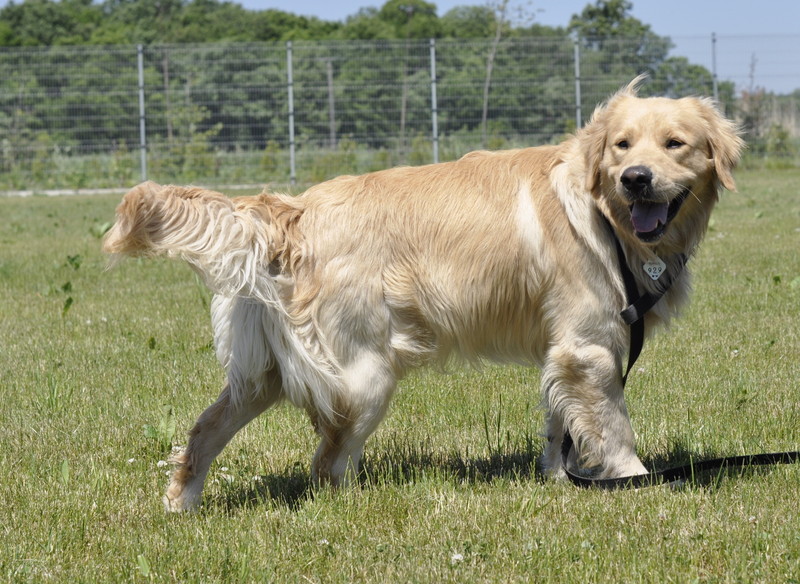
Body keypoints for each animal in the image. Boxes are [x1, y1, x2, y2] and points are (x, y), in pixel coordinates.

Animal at [103, 77, 743, 511]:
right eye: (621, 146)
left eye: (675, 144)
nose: (636, 179)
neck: (602, 213)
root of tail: (294, 210)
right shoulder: (589, 348)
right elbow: (613, 427)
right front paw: (635, 479)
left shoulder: (564, 350)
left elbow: (560, 423)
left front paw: (560, 480)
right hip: (363, 375)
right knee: (326, 463)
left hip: (269, 371)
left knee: (205, 430)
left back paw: (181, 504)